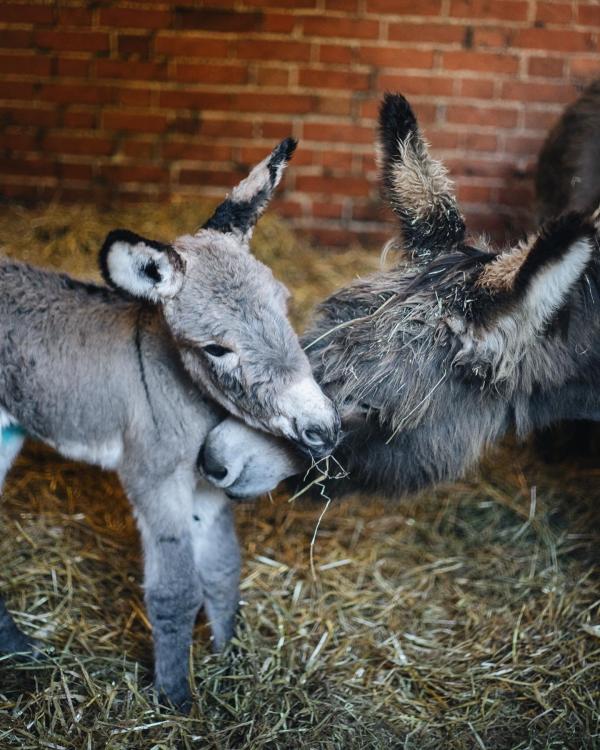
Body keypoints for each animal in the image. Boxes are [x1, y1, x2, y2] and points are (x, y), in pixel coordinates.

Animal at [0, 138, 338, 708]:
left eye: (285, 303)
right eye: (216, 349)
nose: (324, 427)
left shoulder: (207, 482)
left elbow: (222, 569)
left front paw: (230, 659)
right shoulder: (154, 478)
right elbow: (177, 589)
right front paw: (176, 699)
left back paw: (16, 648)